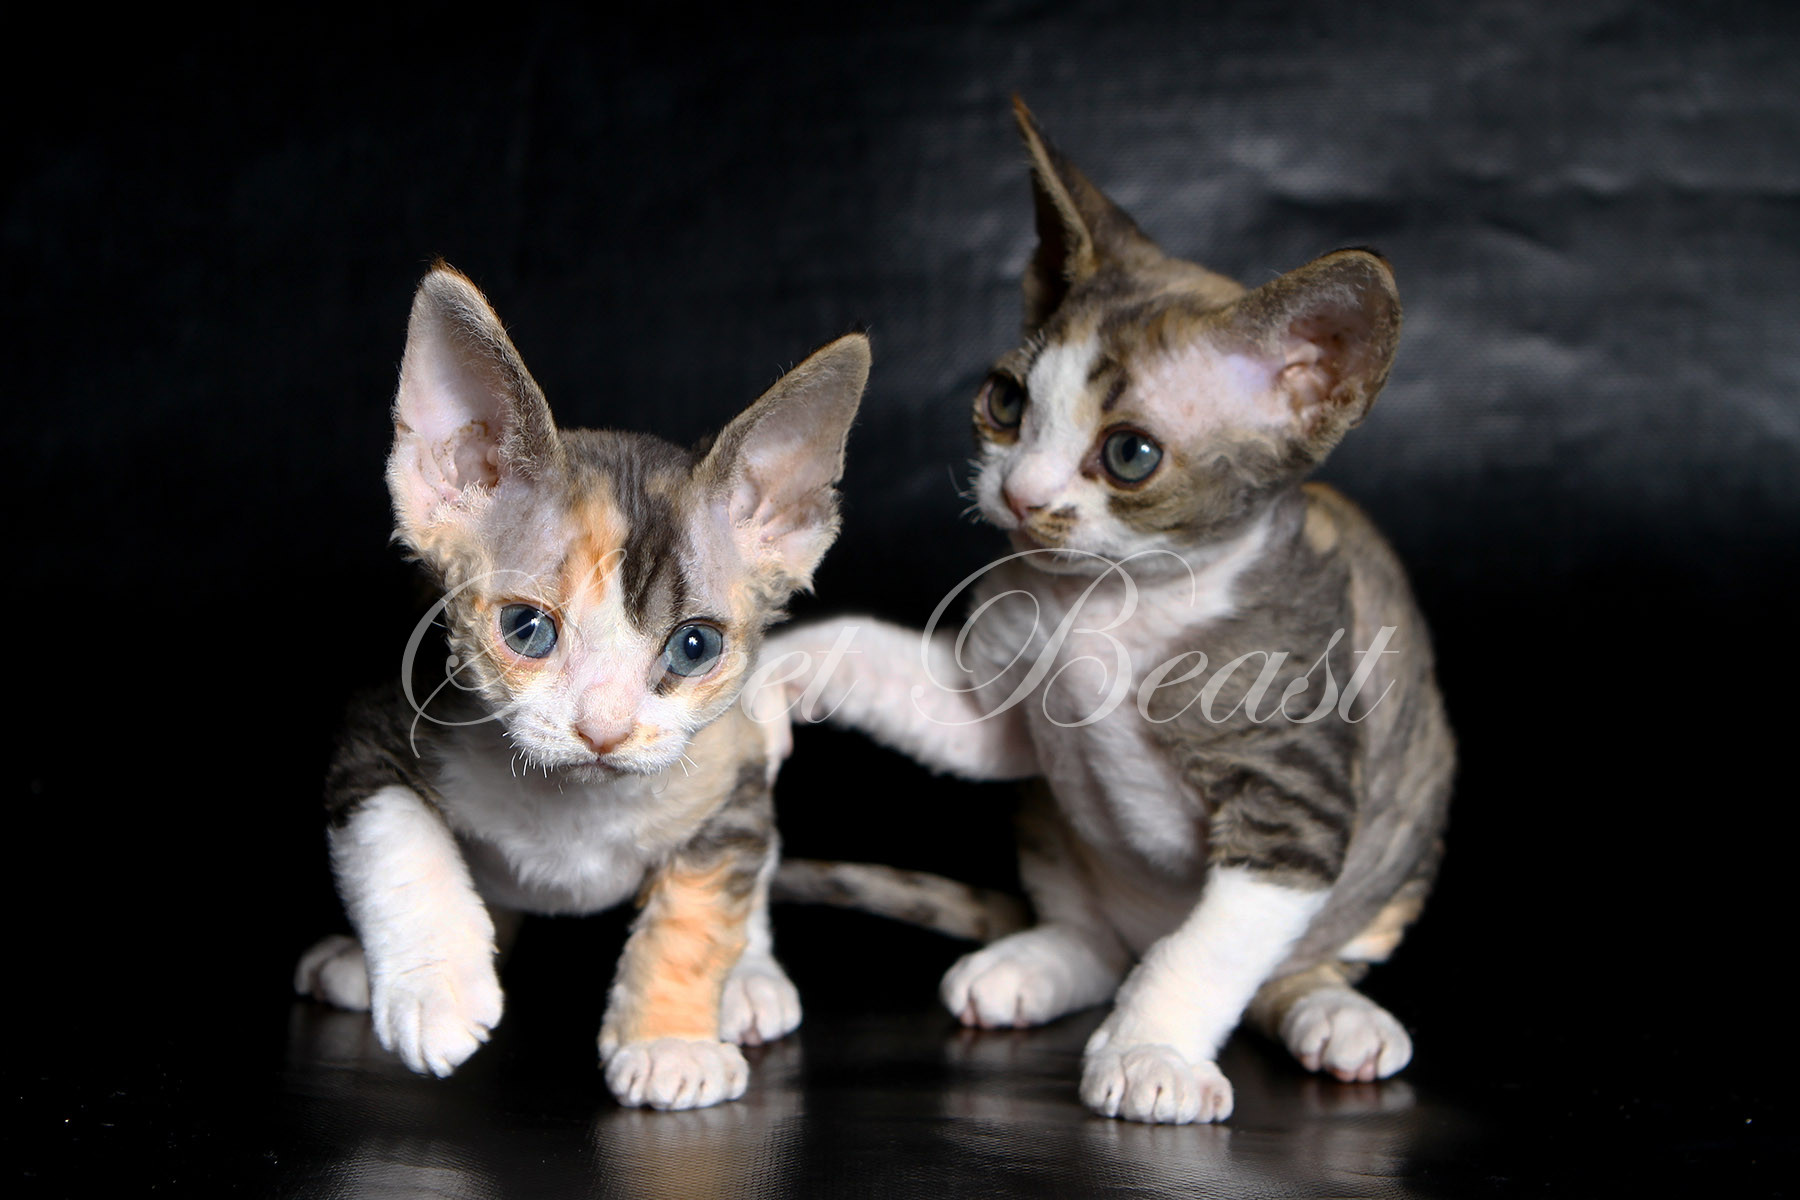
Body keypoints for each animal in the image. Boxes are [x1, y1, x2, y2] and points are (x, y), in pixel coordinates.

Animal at [293, 264, 869, 1111]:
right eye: (527, 629)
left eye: (694, 646)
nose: (604, 729)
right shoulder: (374, 723)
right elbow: (395, 834)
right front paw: (436, 987)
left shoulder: (732, 783)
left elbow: (700, 910)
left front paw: (669, 1042)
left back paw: (751, 981)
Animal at [763, 100, 1454, 1125]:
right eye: (1005, 401)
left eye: (1130, 456)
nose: (1018, 493)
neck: (1106, 606)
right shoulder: (997, 720)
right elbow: (881, 664)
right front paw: (779, 668)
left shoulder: (1292, 797)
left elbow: (1205, 948)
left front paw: (1151, 1051)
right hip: (1049, 829)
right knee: (1098, 944)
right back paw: (1029, 965)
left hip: (1406, 844)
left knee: (1278, 968)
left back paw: (1335, 1017)